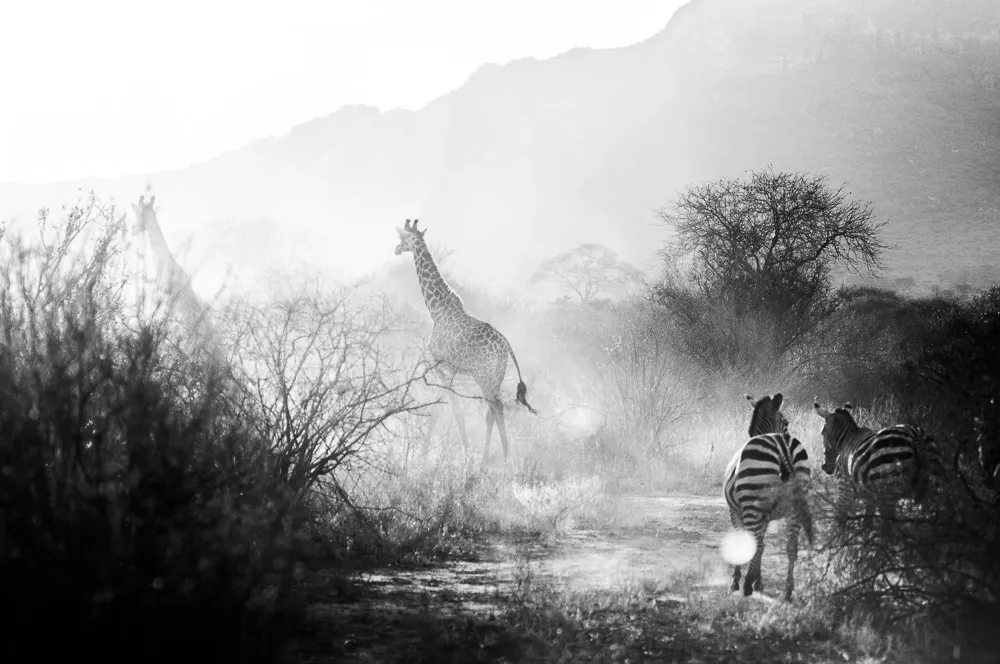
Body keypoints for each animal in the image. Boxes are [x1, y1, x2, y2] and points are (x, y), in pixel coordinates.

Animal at [394, 218, 537, 464]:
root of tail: (506, 347)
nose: (395, 249)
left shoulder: (438, 364)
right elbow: (446, 408)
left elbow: (449, 408)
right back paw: (486, 461)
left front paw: (435, 456)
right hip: (496, 376)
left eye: (402, 238)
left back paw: (504, 460)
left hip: (483, 375)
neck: (436, 309)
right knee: (491, 410)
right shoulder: (450, 370)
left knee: (496, 407)